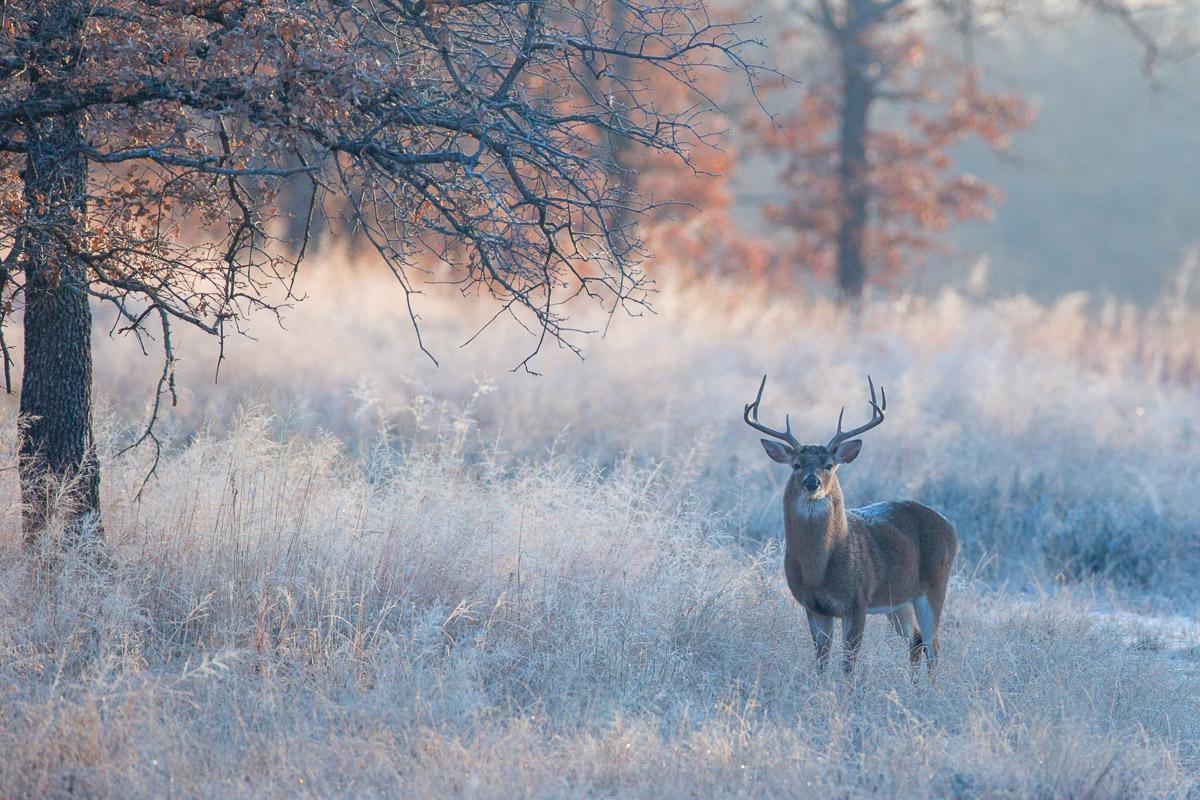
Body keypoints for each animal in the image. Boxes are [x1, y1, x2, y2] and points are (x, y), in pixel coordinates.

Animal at [744, 375, 957, 678]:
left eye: (829, 465)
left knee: (934, 645)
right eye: (796, 464)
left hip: (935, 584)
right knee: (917, 641)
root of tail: (949, 525)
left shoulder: (858, 600)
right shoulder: (814, 606)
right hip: (899, 600)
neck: (818, 569)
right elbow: (821, 662)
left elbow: (848, 664)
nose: (812, 482)